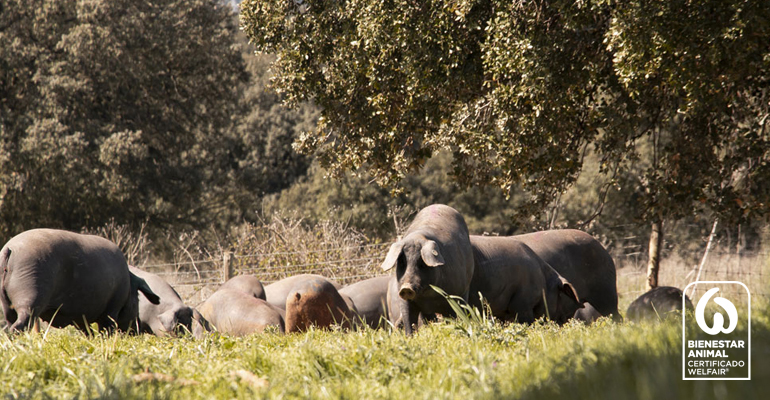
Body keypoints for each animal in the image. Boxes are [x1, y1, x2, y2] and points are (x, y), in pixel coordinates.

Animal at [380, 203, 472, 334]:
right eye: (402, 262)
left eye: (422, 263)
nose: (406, 288)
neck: (428, 296)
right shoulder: (405, 300)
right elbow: (409, 321)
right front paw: (410, 336)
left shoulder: (453, 296)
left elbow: (453, 317)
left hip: (465, 290)